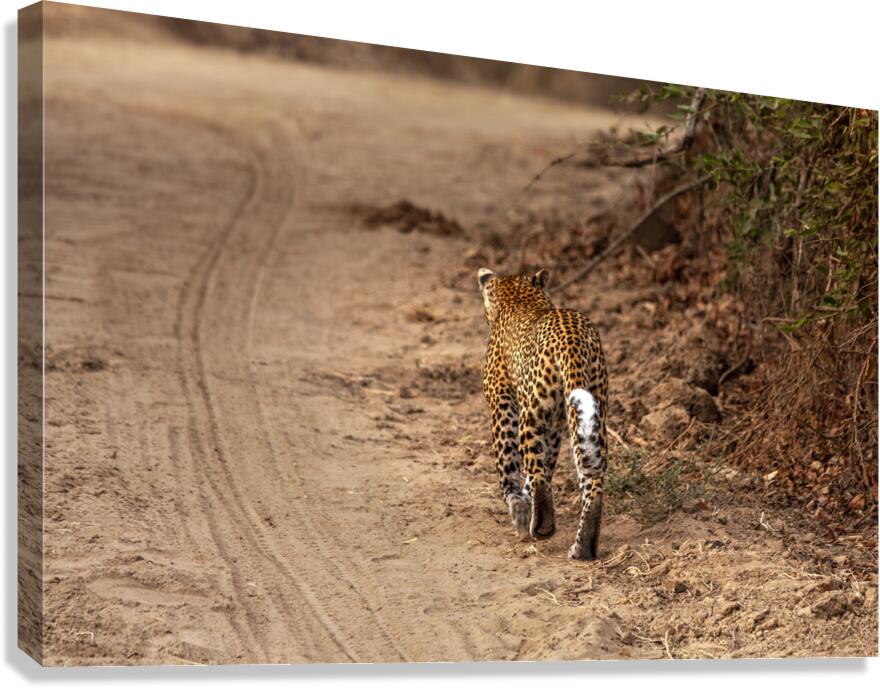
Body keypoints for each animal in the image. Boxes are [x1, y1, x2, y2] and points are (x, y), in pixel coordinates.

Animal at [478, 267, 608, 560]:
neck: (518, 296)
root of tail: (572, 338)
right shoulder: (556, 425)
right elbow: (547, 464)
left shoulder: (501, 402)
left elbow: (510, 467)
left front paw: (519, 508)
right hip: (592, 412)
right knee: (591, 477)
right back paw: (582, 548)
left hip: (533, 411)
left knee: (535, 468)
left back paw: (542, 525)